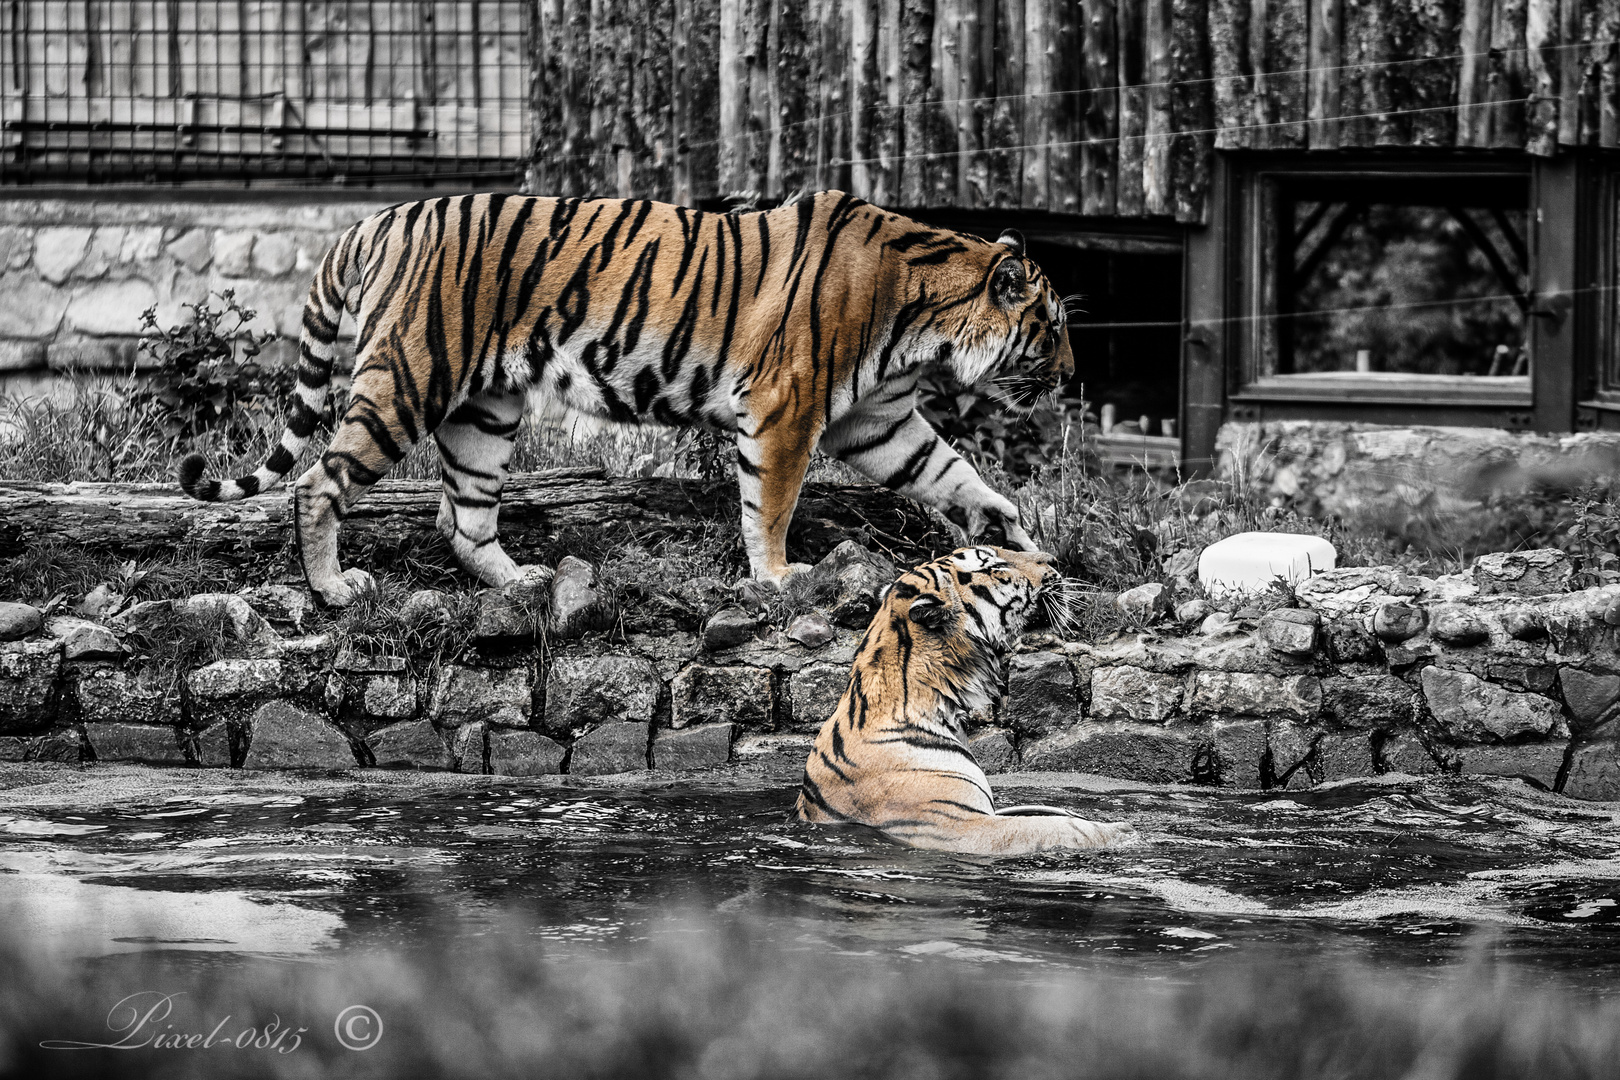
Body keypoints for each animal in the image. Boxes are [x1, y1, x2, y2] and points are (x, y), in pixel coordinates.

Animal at [177, 191, 1069, 608]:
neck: (925, 321)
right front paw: (779, 577)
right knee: (316, 482)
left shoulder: (873, 418)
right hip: (408, 377)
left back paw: (522, 583)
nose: (1069, 371)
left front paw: (1011, 530)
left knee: (464, 517)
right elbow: (772, 504)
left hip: (485, 407)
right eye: (1054, 326)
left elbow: (952, 473)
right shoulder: (789, 408)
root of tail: (372, 222)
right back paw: (334, 589)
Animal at [790, 553, 1134, 854]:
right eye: (995, 568)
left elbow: (1047, 813)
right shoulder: (958, 827)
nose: (1054, 560)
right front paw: (1122, 833)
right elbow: (1047, 827)